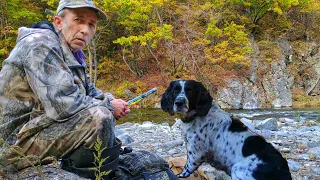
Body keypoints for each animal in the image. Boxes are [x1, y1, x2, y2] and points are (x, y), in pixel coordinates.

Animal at [161, 80, 292, 180]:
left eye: (189, 90)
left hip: (238, 169)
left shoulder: (196, 151)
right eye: (175, 90)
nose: (179, 103)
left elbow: (188, 167)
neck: (196, 116)